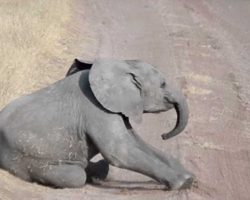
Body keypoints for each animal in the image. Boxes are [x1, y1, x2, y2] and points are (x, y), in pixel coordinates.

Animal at [0, 58, 193, 190]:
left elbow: (137, 143)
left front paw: (187, 175)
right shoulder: (94, 108)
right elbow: (119, 151)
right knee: (76, 176)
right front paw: (183, 183)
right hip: (26, 158)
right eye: (163, 84)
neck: (121, 65)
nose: (164, 135)